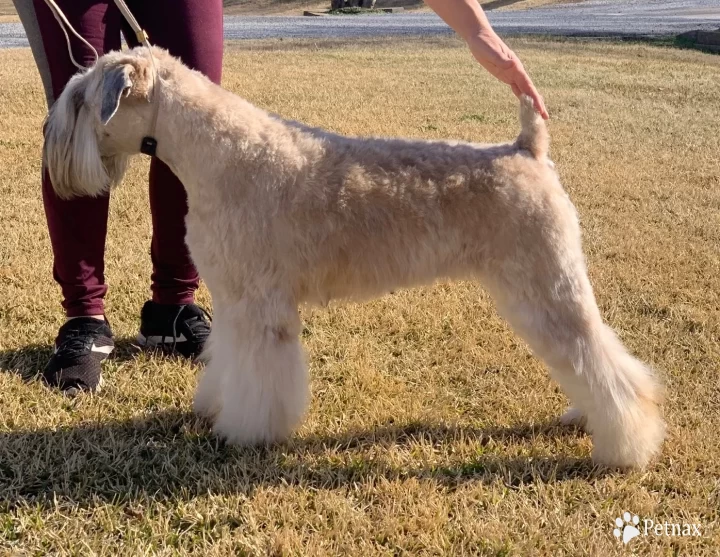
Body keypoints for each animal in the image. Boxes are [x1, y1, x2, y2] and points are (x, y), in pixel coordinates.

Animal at [43, 47, 664, 466]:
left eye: (79, 98)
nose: (47, 134)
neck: (220, 152)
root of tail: (527, 149)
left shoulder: (262, 308)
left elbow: (260, 379)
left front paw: (246, 432)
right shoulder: (235, 302)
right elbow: (225, 362)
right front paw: (214, 407)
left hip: (547, 289)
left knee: (602, 361)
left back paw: (625, 445)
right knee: (595, 355)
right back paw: (586, 416)